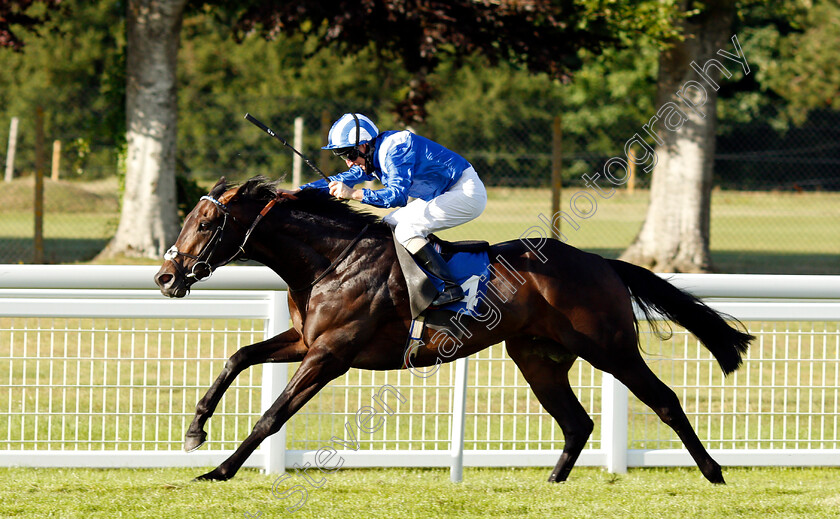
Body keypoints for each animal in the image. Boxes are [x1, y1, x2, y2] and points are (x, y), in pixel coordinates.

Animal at [154, 177, 752, 486]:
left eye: (205, 222)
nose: (165, 276)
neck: (331, 261)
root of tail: (602, 263)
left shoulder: (330, 354)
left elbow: (272, 416)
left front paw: (221, 470)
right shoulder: (305, 341)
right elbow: (238, 356)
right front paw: (196, 429)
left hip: (611, 349)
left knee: (665, 400)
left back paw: (714, 473)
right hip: (537, 357)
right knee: (577, 422)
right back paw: (552, 484)